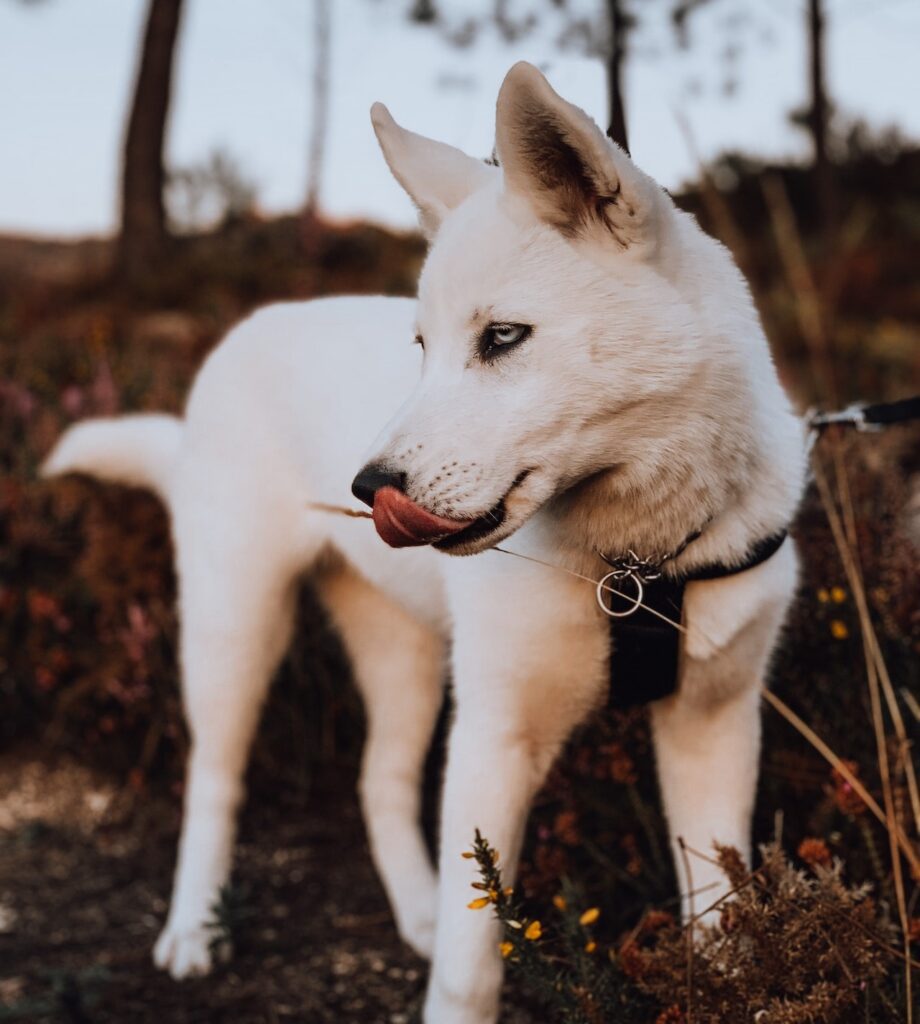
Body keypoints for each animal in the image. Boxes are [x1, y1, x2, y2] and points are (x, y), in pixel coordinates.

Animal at [44, 64, 803, 1024]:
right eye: (421, 346)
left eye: (502, 337)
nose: (368, 490)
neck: (640, 564)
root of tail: (244, 331)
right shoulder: (496, 736)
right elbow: (472, 964)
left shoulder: (714, 724)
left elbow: (720, 918)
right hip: (235, 631)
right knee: (214, 782)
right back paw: (193, 930)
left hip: (400, 655)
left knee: (380, 783)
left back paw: (416, 911)